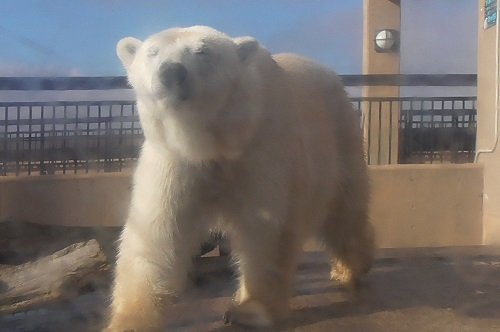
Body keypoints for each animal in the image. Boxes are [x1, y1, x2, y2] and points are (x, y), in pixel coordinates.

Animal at [107, 25, 374, 330]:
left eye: (202, 51)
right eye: (152, 52)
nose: (172, 72)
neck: (212, 141)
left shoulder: (261, 150)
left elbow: (266, 229)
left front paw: (251, 310)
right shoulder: (173, 159)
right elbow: (156, 233)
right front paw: (128, 321)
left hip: (338, 137)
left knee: (345, 209)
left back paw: (350, 268)